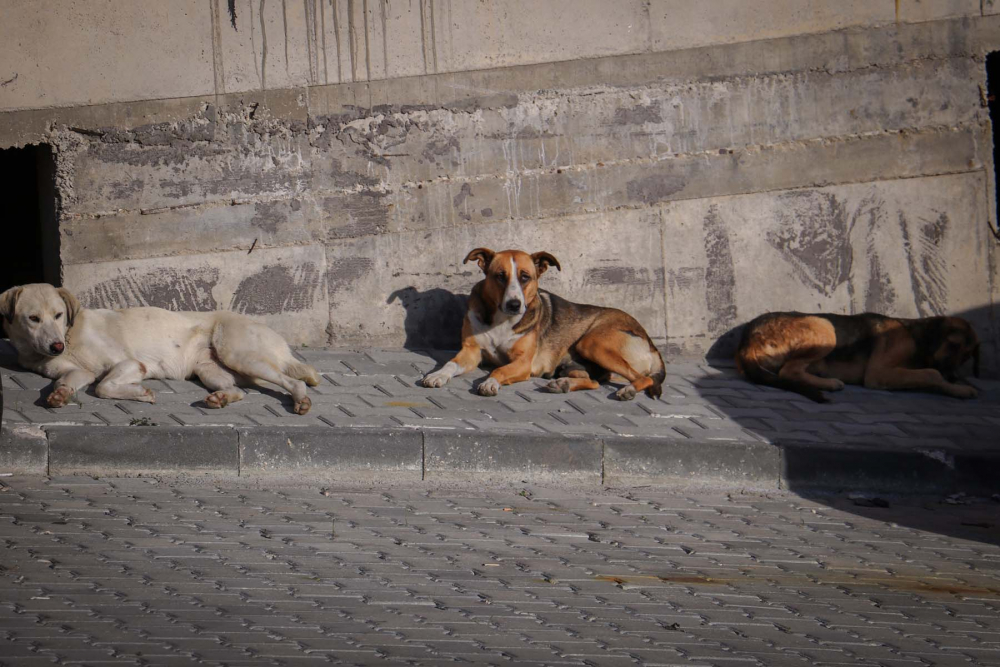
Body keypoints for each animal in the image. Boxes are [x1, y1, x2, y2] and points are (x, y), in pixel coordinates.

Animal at [0, 284, 320, 414]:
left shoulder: (130, 364)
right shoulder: (78, 372)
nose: (56, 345)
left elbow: (103, 386)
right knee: (238, 391)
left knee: (294, 381)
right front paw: (60, 395)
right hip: (209, 369)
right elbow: (68, 382)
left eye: (58, 315)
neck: (71, 333)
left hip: (240, 355)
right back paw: (220, 399)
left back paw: (301, 402)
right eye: (33, 319)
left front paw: (140, 393)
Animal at [420, 248, 664, 400]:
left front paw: (490, 382)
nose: (514, 304)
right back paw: (563, 384)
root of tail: (652, 345)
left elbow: (500, 369)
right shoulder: (471, 351)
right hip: (575, 364)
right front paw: (437, 375)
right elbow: (451, 364)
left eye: (525, 277)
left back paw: (628, 390)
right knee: (594, 382)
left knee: (643, 378)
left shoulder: (523, 363)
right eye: (500, 276)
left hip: (592, 343)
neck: (501, 320)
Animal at [740, 310, 980, 402]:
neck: (916, 336)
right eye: (952, 345)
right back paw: (830, 383)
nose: (952, 376)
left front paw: (959, 385)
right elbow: (931, 373)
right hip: (825, 326)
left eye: (966, 356)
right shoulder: (878, 374)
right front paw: (958, 388)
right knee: (789, 371)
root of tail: (748, 338)